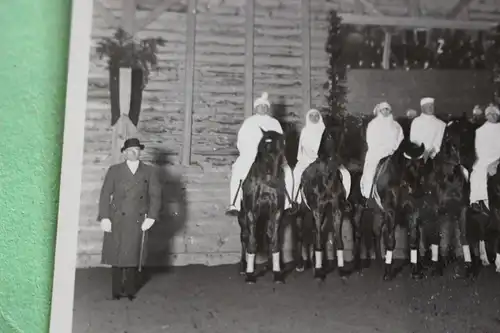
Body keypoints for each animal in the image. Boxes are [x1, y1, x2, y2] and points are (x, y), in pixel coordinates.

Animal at [237, 127, 286, 282]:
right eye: (263, 149)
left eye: (281, 151)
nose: (273, 182)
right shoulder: (251, 213)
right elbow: (252, 242)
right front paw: (250, 275)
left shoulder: (276, 213)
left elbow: (275, 241)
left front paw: (277, 273)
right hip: (242, 218)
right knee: (244, 237)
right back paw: (243, 267)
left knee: (268, 236)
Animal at [292, 127, 348, 280]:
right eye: (327, 137)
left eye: (341, 133)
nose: (335, 161)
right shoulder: (317, 211)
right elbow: (317, 241)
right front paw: (318, 272)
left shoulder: (336, 211)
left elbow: (338, 240)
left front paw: (341, 270)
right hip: (300, 214)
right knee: (301, 237)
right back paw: (301, 265)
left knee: (313, 233)